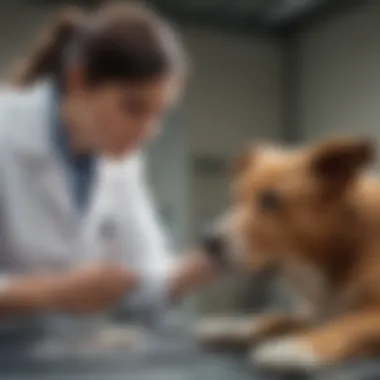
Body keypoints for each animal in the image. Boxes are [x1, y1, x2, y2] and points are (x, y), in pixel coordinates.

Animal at [196, 137, 380, 372]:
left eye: (271, 201)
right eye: (235, 198)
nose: (207, 242)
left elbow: (351, 324)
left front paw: (297, 347)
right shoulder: (314, 313)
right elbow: (273, 319)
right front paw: (232, 326)